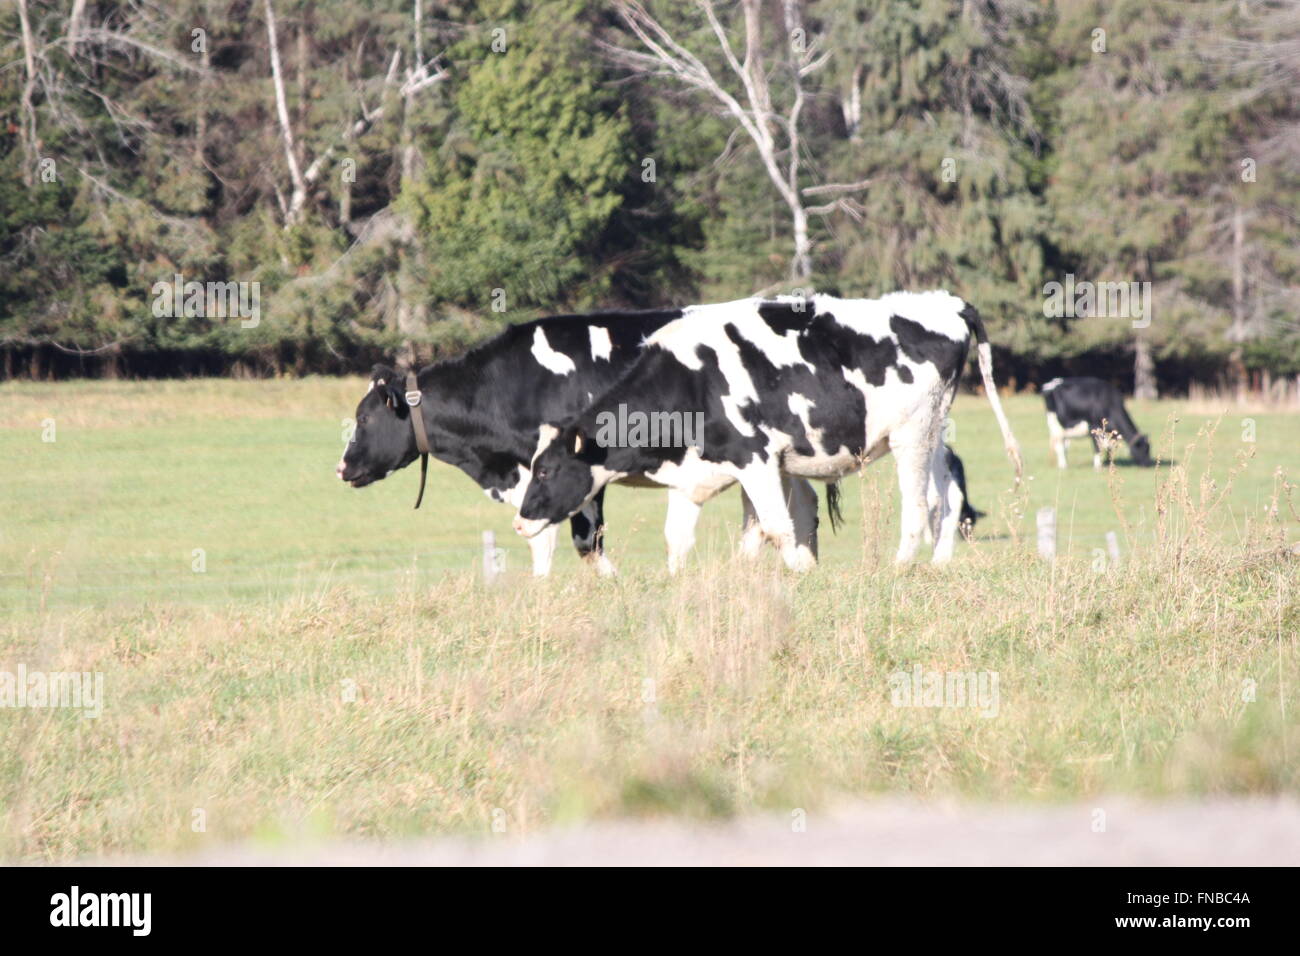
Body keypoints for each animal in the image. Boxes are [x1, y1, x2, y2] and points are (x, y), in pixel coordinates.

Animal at [335, 310, 821, 576]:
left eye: (363, 417)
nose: (342, 467)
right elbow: (540, 539)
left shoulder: (578, 469)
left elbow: (584, 540)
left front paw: (612, 583)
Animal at [513, 292, 1022, 572]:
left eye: (547, 471)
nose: (519, 521)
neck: (693, 379)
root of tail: (944, 302)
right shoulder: (700, 472)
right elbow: (683, 536)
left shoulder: (755, 460)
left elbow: (778, 527)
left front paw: (800, 570)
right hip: (934, 432)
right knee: (945, 497)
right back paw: (938, 562)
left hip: (910, 435)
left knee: (917, 505)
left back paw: (898, 567)